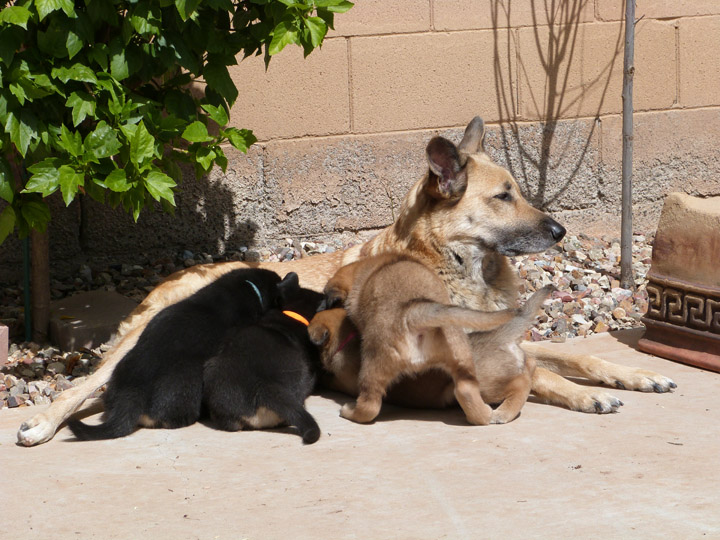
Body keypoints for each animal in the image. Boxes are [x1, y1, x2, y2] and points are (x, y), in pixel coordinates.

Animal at [308, 284, 552, 424]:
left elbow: (331, 379)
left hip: (487, 385)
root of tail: (500, 335)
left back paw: (503, 413)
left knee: (521, 384)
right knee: (530, 365)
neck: (347, 337)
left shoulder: (344, 380)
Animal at [320, 253, 516, 426]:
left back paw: (349, 411)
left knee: (369, 406)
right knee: (466, 391)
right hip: (461, 358)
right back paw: (484, 414)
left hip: (373, 363)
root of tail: (414, 312)